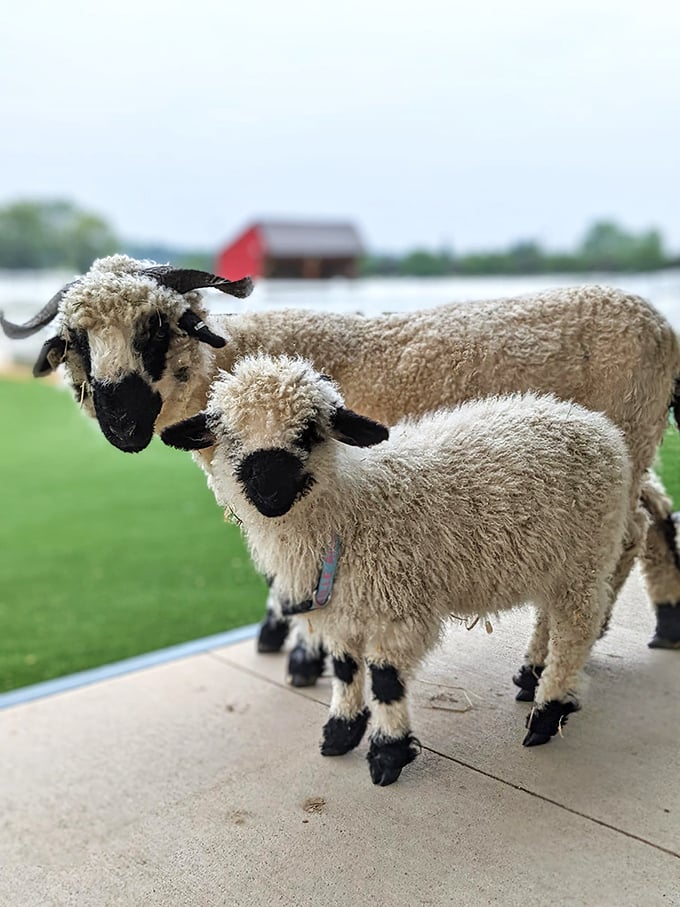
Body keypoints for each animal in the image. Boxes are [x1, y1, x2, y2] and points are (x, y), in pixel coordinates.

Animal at [1, 252, 680, 684]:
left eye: (156, 329)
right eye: (77, 341)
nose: (120, 421)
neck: (243, 357)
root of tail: (659, 323)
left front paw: (305, 655)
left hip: (626, 442)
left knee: (626, 538)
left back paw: (552, 663)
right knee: (650, 522)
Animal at [161, 354, 636, 788]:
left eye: (310, 432)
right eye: (228, 436)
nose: (269, 492)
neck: (349, 511)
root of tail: (594, 424)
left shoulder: (398, 609)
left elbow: (386, 681)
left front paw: (388, 754)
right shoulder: (341, 611)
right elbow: (345, 670)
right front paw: (341, 732)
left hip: (586, 556)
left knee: (576, 628)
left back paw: (548, 710)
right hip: (552, 559)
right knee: (547, 617)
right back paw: (531, 675)